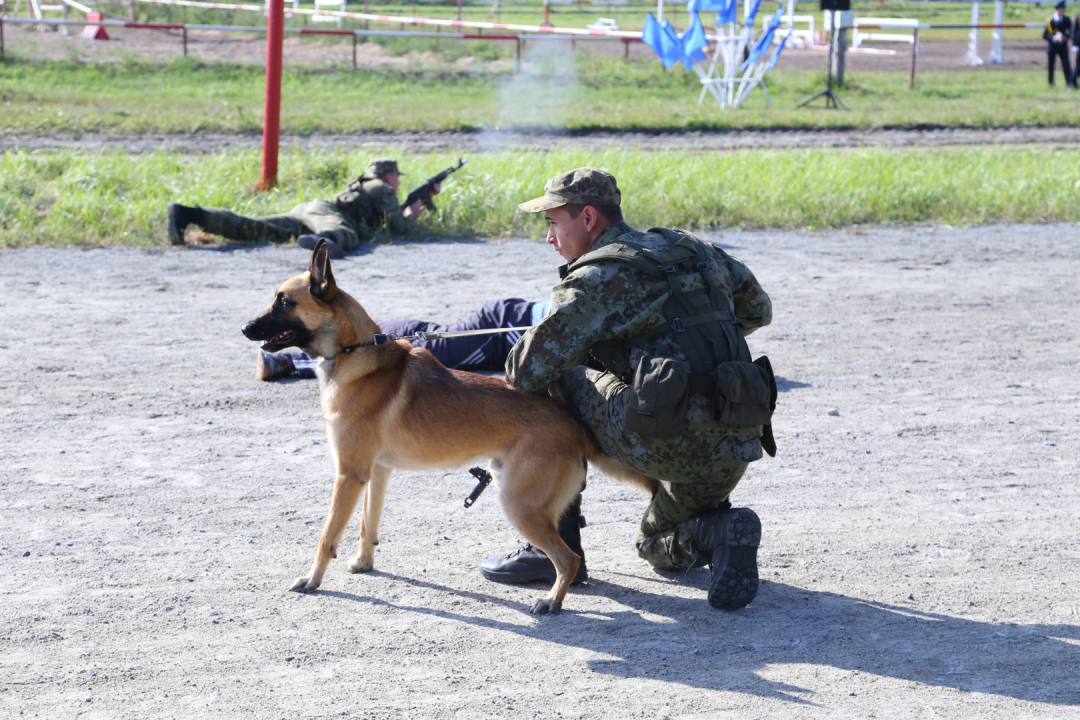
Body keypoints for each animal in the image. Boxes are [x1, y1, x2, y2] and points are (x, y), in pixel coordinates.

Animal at [243, 240, 630, 613]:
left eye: (284, 301)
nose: (245, 328)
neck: (353, 352)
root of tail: (574, 424)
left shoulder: (348, 474)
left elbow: (326, 537)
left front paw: (312, 580)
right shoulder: (375, 473)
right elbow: (368, 524)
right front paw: (363, 563)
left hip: (519, 505)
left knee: (569, 559)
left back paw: (551, 601)